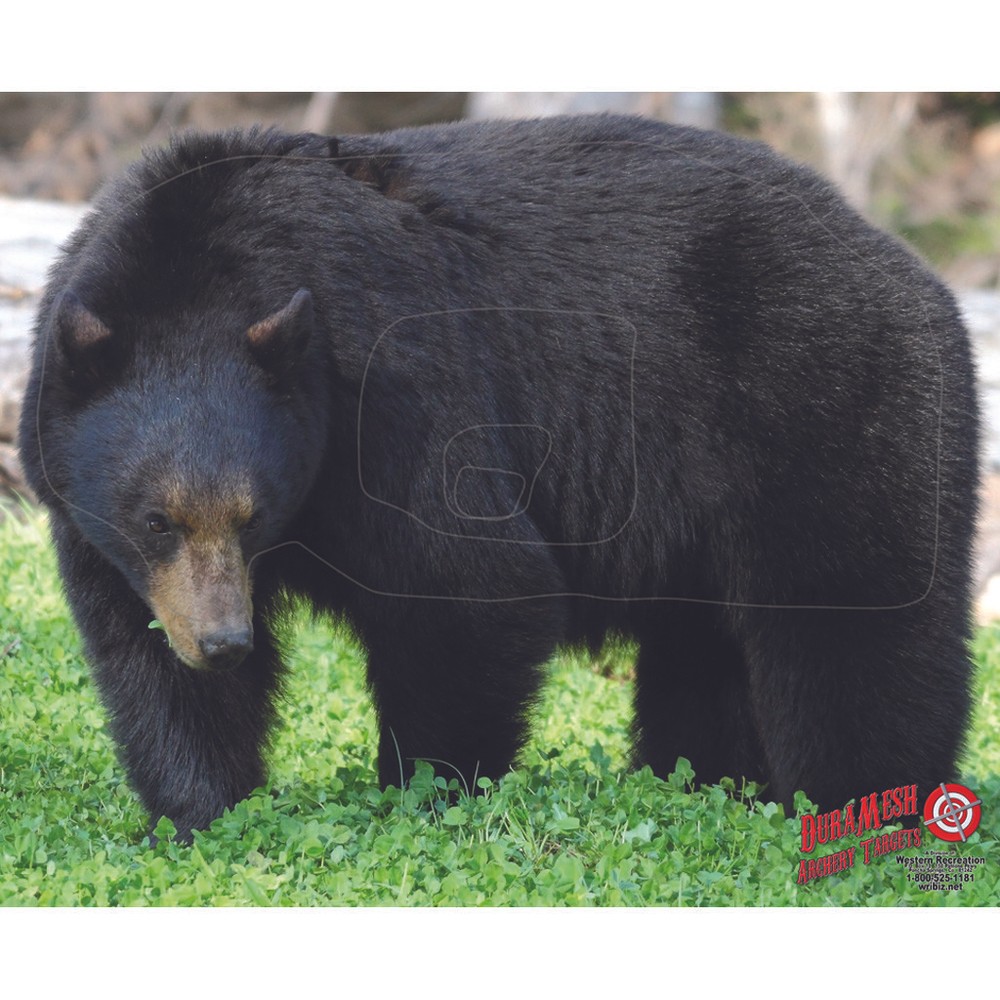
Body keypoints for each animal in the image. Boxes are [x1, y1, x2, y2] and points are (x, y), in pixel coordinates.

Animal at [19, 114, 979, 843]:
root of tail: (915, 271)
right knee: (706, 653)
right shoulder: (104, 525)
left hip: (824, 405)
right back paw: (702, 782)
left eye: (253, 515)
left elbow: (468, 586)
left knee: (853, 625)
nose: (225, 642)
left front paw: (423, 789)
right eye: (156, 519)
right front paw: (196, 813)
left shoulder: (396, 385)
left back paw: (864, 803)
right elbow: (143, 653)